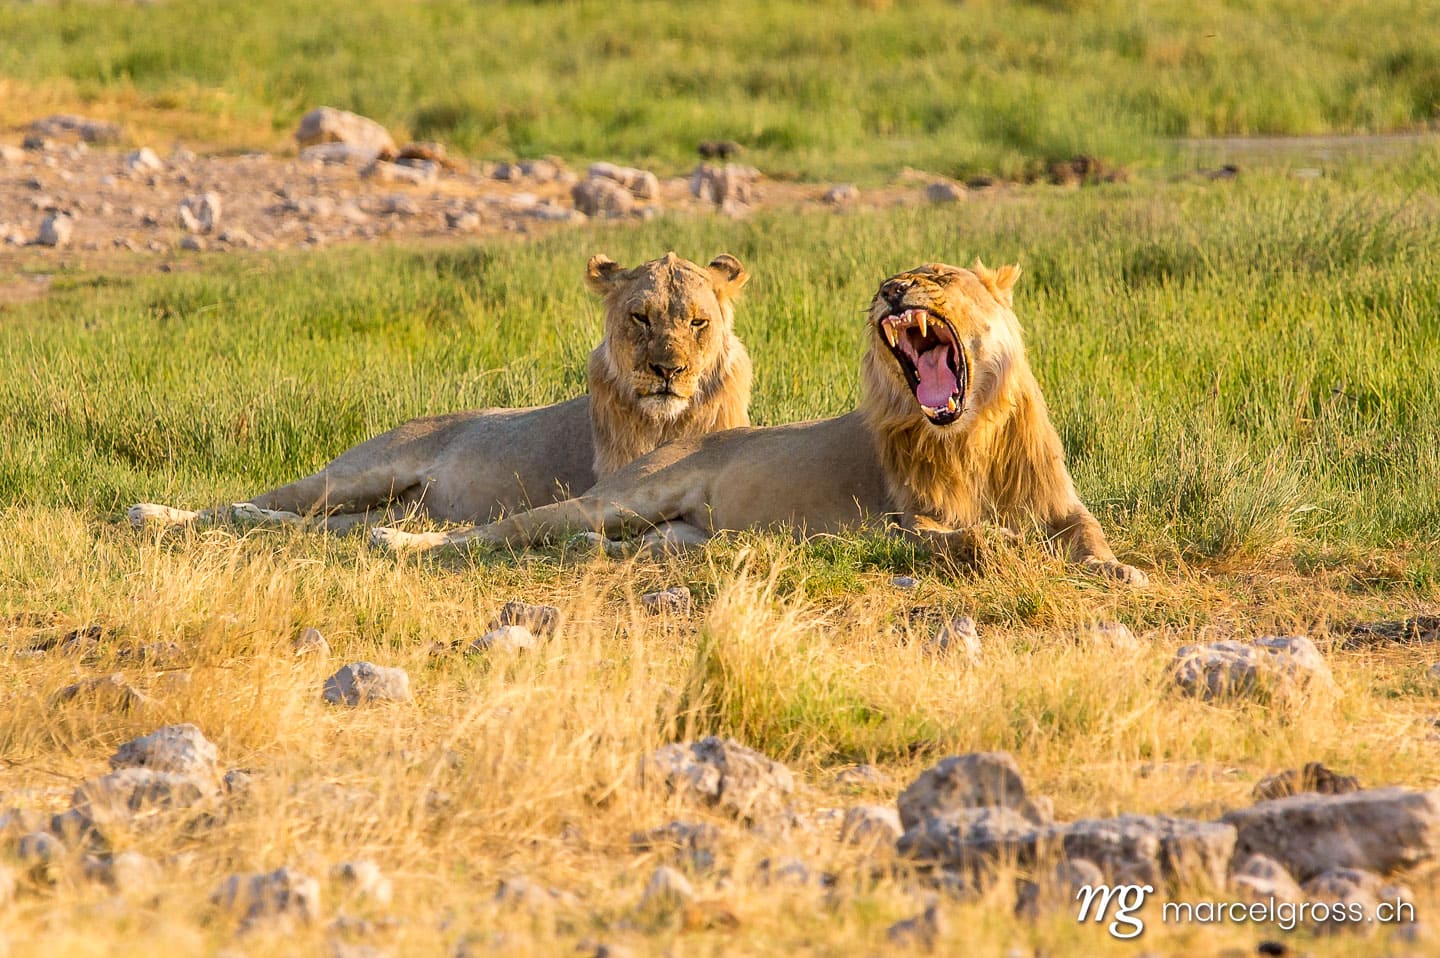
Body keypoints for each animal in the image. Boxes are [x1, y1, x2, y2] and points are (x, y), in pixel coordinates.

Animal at [127, 251, 753, 532]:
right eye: (640, 317)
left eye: (696, 322)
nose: (667, 370)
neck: (665, 419)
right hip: (355, 473)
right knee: (253, 503)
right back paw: (153, 513)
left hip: (378, 507)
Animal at [370, 261, 1148, 587]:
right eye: (892, 280)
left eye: (940, 278)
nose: (891, 290)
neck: (970, 433)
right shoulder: (904, 519)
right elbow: (967, 539)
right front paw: (1004, 545)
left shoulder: (1060, 505)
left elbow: (1090, 538)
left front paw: (1119, 570)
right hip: (622, 497)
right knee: (504, 529)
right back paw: (396, 541)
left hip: (668, 535)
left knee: (606, 546)